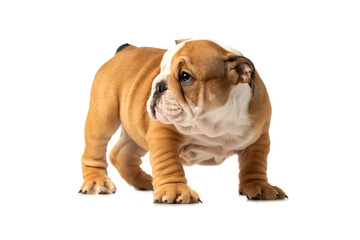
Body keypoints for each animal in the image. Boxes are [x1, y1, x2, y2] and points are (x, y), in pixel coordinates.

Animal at [79, 39, 286, 202]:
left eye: (185, 76)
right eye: (160, 70)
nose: (158, 85)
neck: (215, 121)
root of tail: (126, 49)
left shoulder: (258, 138)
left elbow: (255, 164)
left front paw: (260, 186)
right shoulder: (163, 134)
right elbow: (168, 163)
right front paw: (175, 190)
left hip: (135, 128)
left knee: (121, 154)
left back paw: (146, 181)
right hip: (103, 116)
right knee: (95, 151)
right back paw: (97, 182)